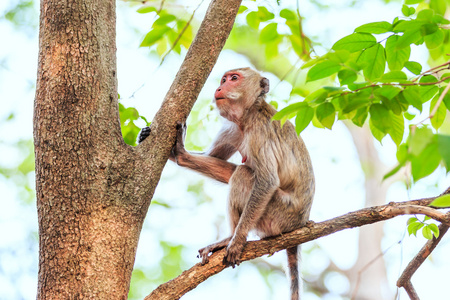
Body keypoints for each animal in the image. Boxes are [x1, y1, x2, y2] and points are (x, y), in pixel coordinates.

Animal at [139, 68, 314, 300]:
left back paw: (230, 237)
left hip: (279, 214)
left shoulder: (259, 130)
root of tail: (299, 223)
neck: (248, 114)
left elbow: (267, 180)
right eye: (224, 79)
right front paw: (178, 151)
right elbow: (217, 160)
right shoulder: (232, 129)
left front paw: (237, 241)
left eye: (234, 78)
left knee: (243, 175)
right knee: (238, 172)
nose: (219, 87)